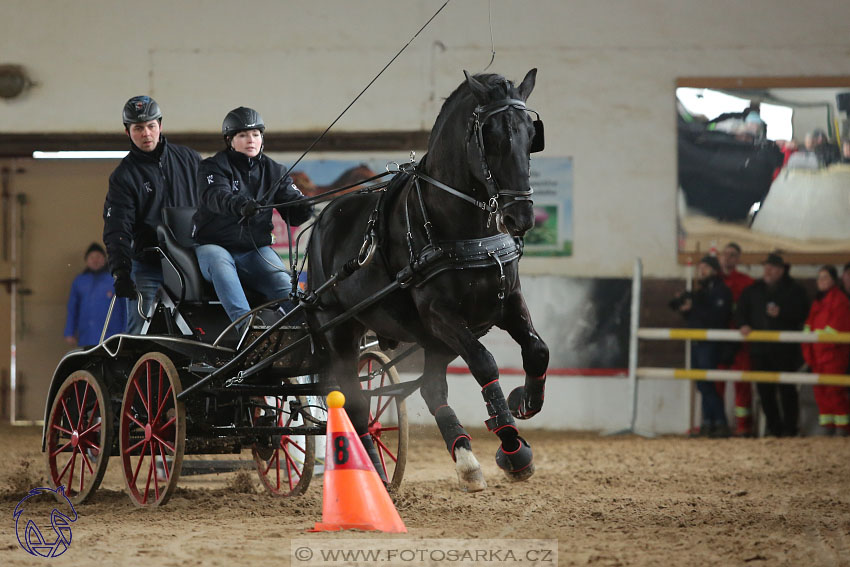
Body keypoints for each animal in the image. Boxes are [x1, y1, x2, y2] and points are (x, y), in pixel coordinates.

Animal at [304, 69, 548, 490]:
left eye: (531, 135)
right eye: (492, 136)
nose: (521, 217)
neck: (462, 230)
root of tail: (322, 221)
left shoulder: (506, 300)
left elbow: (536, 350)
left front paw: (523, 403)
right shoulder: (439, 313)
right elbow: (485, 364)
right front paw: (513, 447)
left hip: (433, 340)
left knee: (432, 388)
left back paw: (465, 460)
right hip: (341, 331)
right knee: (355, 402)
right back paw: (372, 468)